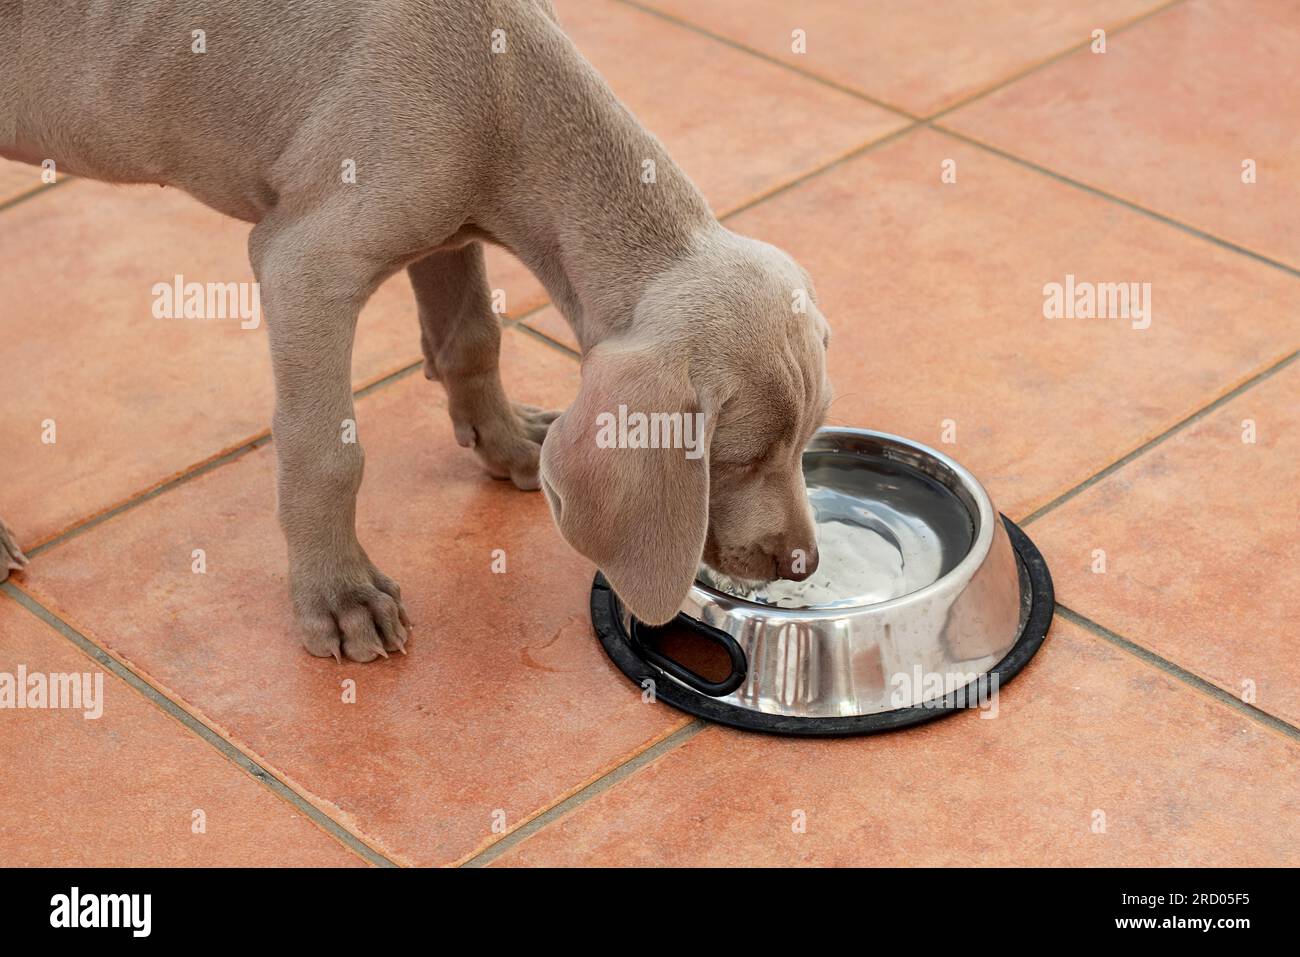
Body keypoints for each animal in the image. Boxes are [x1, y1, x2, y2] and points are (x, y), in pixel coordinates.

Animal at [2, 0, 832, 660]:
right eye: (736, 458)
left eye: (806, 441)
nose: (803, 564)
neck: (507, 91)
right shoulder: (303, 265)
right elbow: (325, 453)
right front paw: (338, 595)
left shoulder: (448, 223)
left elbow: (472, 339)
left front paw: (509, 441)